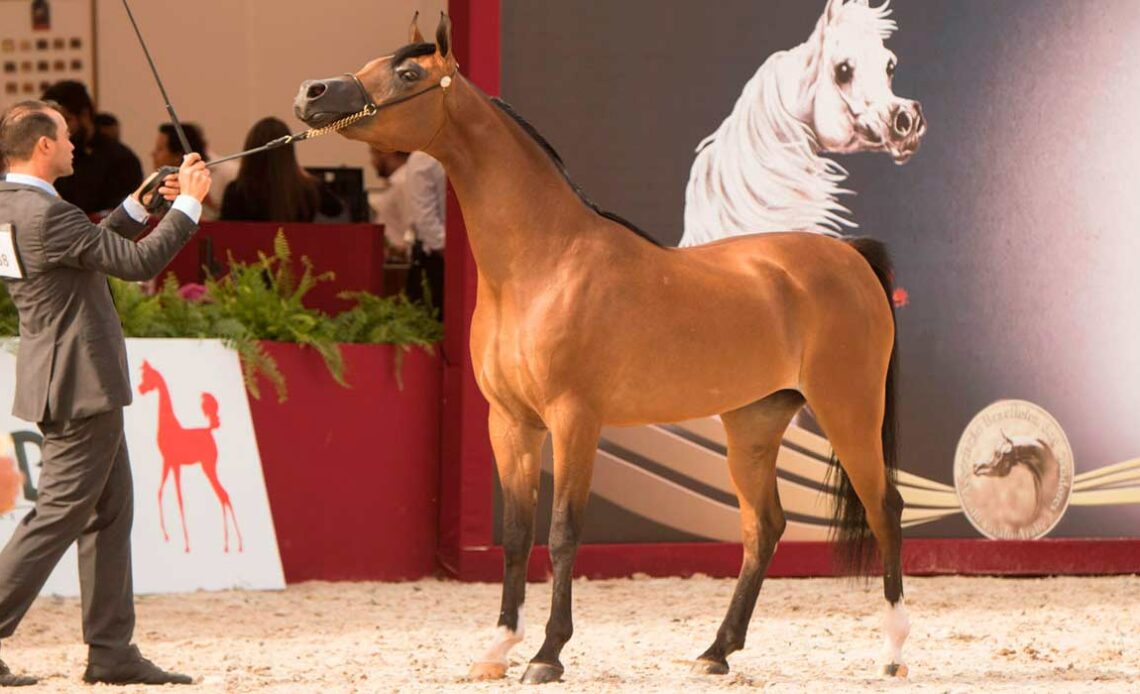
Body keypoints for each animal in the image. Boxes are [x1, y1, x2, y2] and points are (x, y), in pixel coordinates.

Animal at [294, 14, 907, 683]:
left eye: (407, 73)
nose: (312, 94)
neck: (543, 263)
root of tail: (850, 257)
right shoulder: (510, 423)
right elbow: (517, 534)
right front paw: (498, 647)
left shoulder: (574, 420)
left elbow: (564, 532)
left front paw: (547, 654)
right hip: (753, 423)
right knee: (763, 528)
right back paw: (716, 652)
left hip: (848, 410)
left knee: (885, 508)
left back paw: (892, 654)